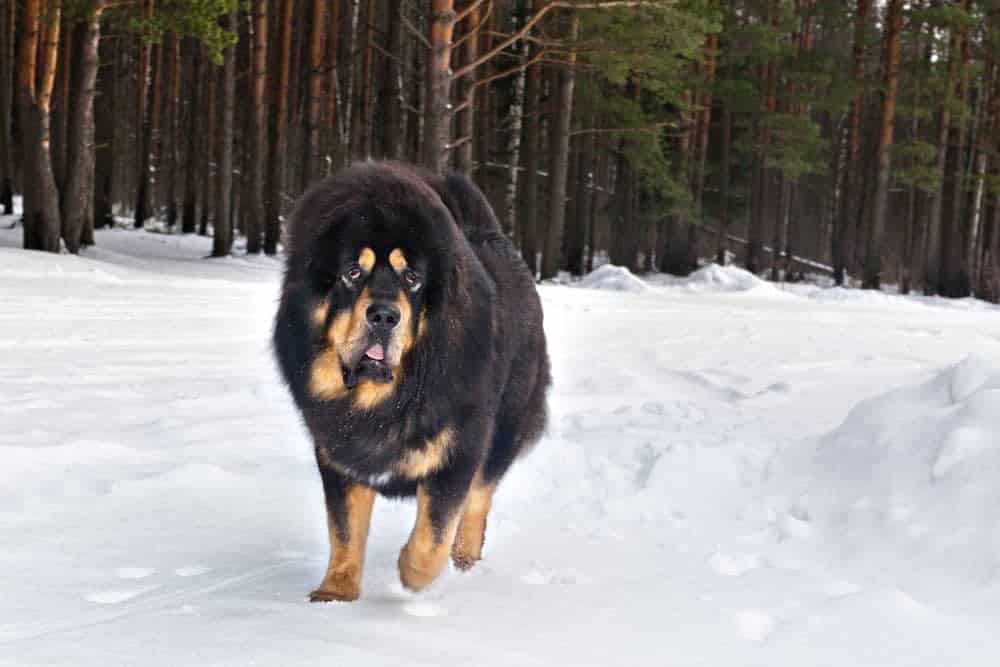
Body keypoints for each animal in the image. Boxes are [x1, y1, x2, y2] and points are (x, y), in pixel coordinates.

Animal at [274, 163, 552, 604]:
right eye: (353, 272)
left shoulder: (458, 452)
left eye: (412, 278)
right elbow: (344, 529)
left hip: (505, 429)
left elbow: (434, 534)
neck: (388, 399)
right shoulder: (338, 455)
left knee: (479, 499)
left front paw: (411, 572)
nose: (384, 316)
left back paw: (465, 559)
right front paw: (336, 592)